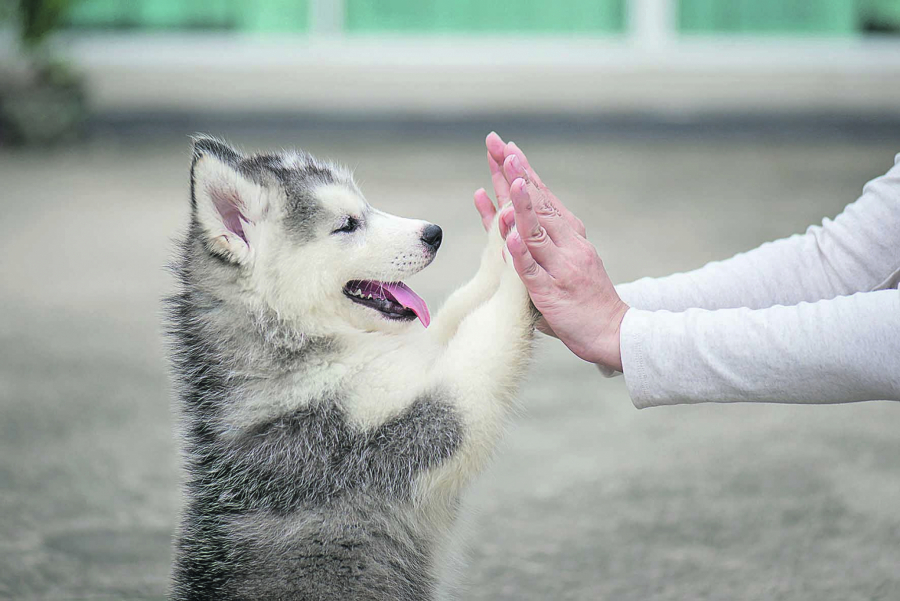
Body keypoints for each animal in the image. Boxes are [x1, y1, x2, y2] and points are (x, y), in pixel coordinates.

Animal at [166, 136, 536, 600]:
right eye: (347, 224)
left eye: (366, 206)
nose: (434, 233)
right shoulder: (392, 434)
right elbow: (483, 338)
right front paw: (524, 259)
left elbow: (457, 311)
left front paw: (504, 233)